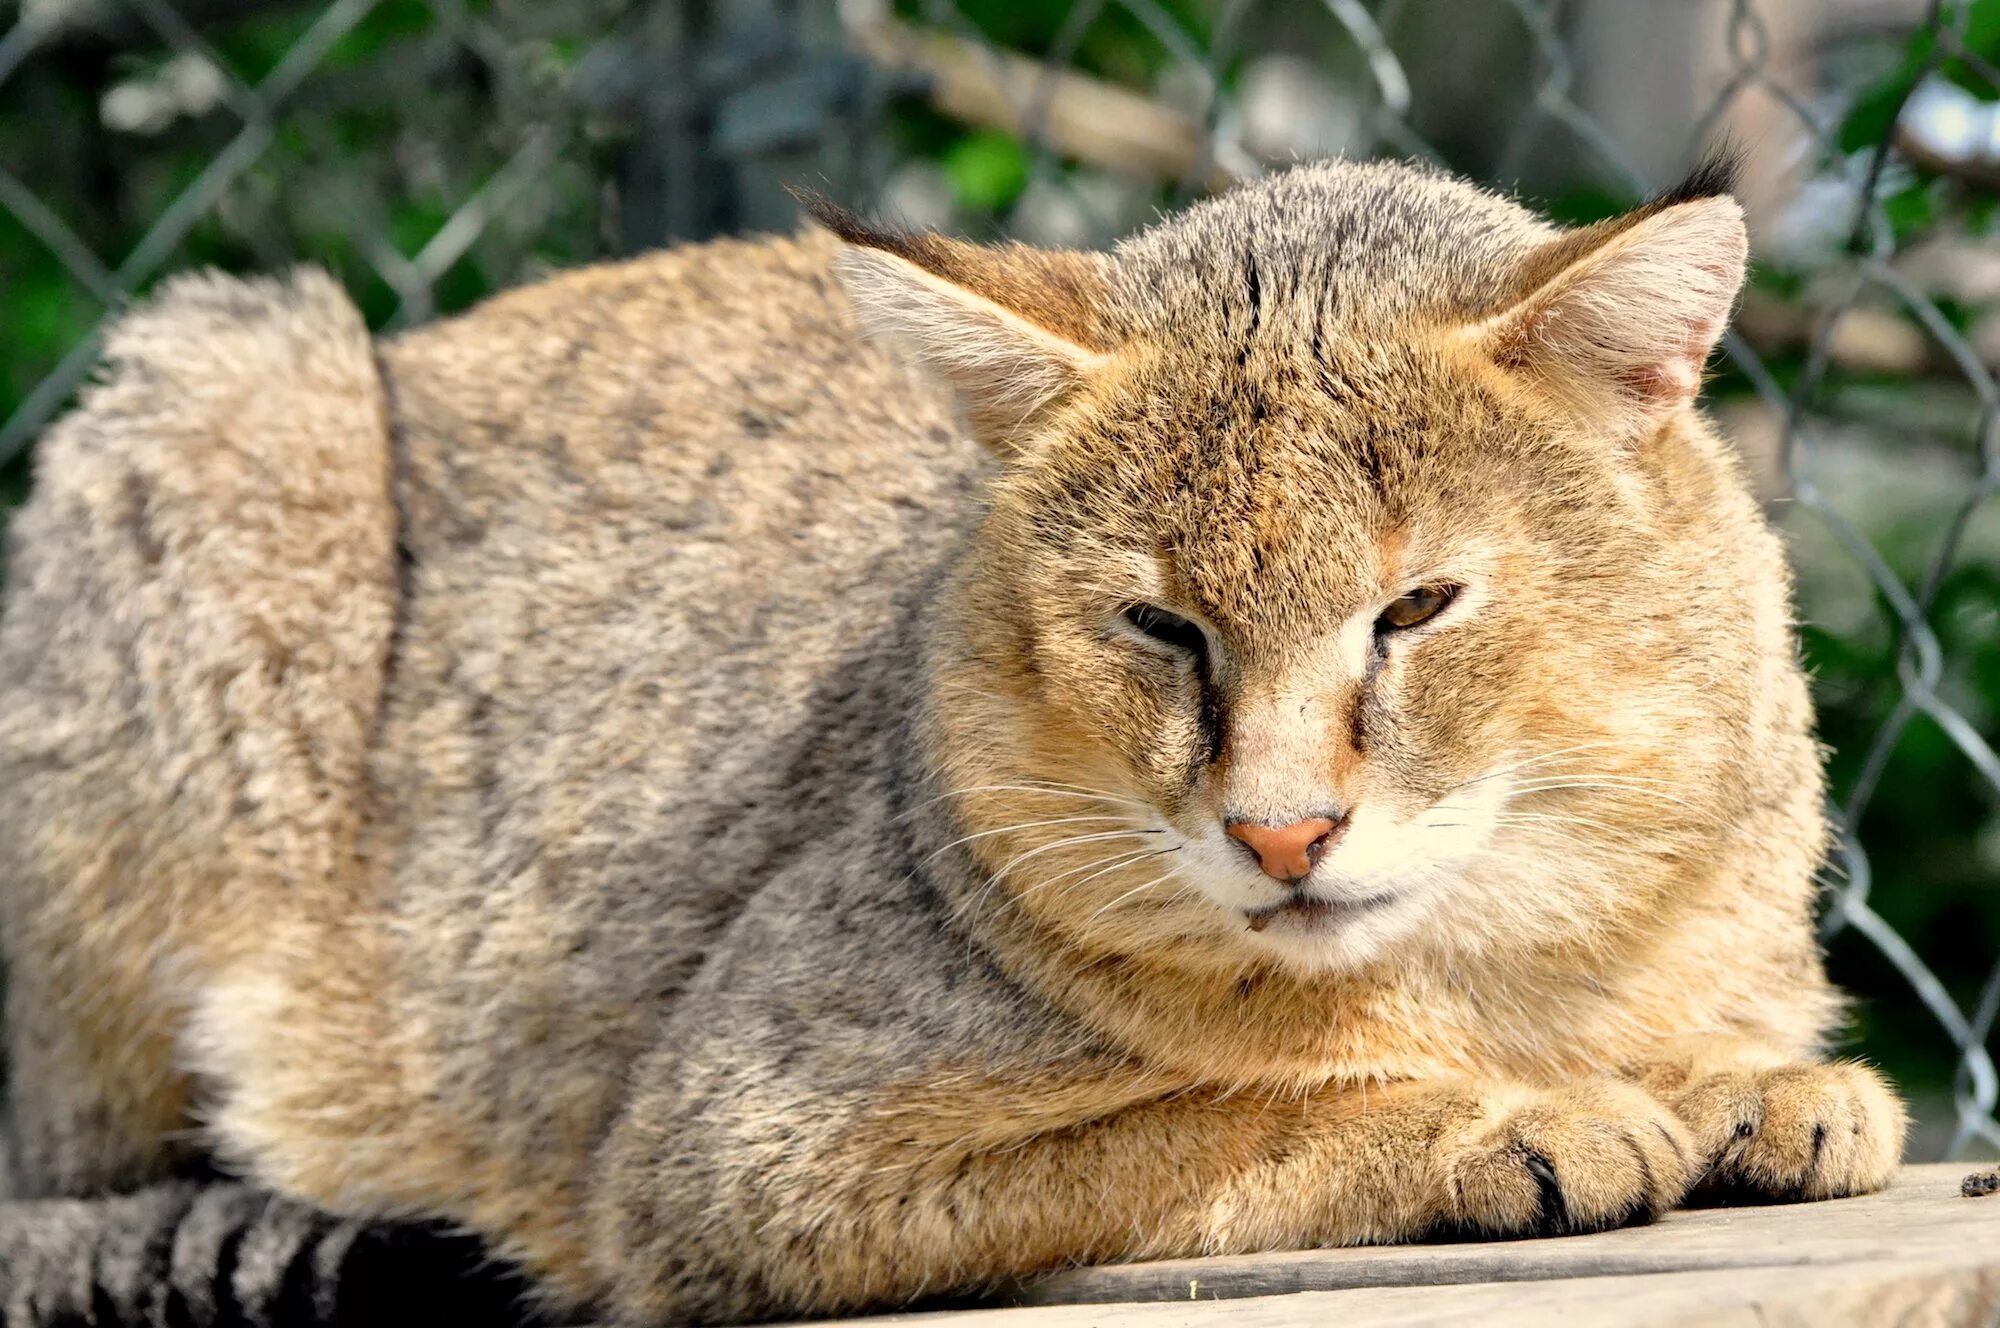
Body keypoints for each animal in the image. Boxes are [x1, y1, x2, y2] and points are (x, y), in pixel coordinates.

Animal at [0, 153, 1904, 1320]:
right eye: (1159, 627)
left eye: (1417, 609)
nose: (1281, 833)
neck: (1504, 947)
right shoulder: (725, 1149)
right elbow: (1205, 1114)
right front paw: (1504, 1118)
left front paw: (1736, 1078)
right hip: (232, 389)